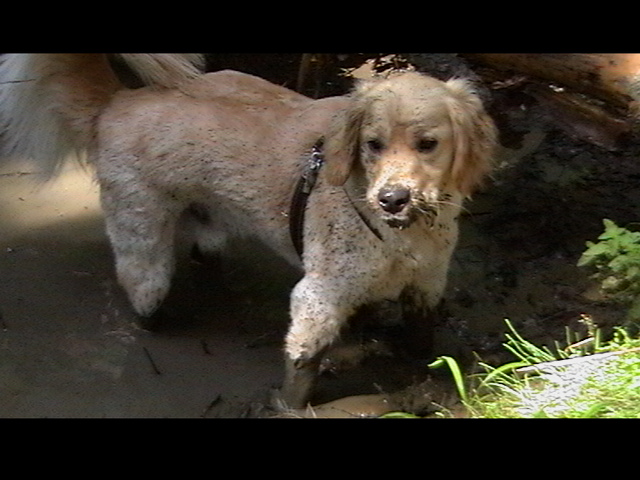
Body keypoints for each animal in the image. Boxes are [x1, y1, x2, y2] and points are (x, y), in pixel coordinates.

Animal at [0, 54, 500, 406]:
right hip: (143, 244)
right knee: (143, 288)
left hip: (210, 217)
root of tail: (118, 102)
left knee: (205, 254)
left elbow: (420, 343)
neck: (403, 233)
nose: (391, 198)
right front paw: (287, 403)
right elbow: (302, 366)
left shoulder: (426, 284)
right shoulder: (318, 296)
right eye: (372, 145)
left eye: (428, 144)